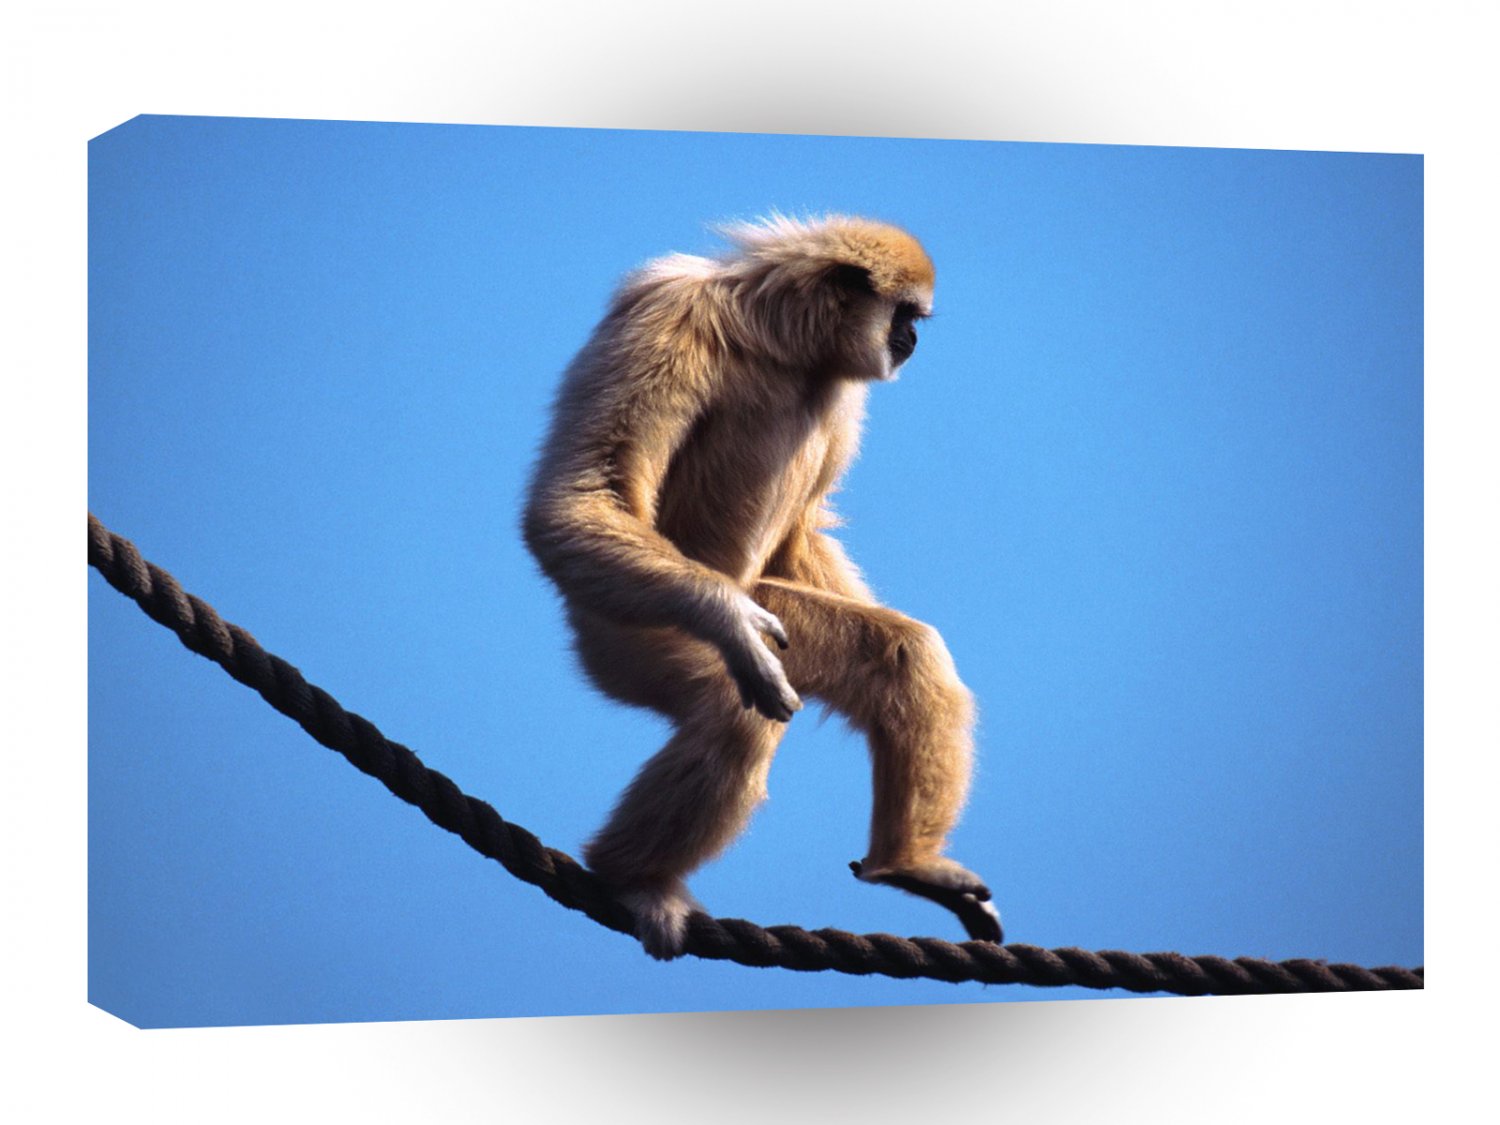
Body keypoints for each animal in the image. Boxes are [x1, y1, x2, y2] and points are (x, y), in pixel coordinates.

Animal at [522, 214, 1001, 959]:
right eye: (905, 317)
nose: (912, 342)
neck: (774, 339)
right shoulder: (667, 313)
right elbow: (578, 497)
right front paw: (728, 620)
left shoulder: (840, 388)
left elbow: (803, 533)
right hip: (626, 625)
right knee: (735, 710)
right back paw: (633, 879)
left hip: (762, 607)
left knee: (902, 653)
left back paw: (906, 864)